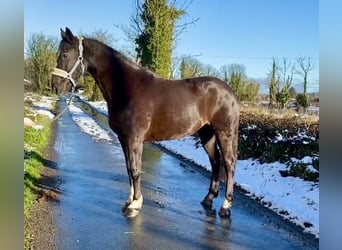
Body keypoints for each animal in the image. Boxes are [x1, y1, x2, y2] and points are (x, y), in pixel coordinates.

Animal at [51, 27, 240, 219]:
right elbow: (128, 169)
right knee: (215, 161)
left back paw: (225, 207)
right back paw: (208, 199)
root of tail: (230, 92)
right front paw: (130, 200)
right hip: (207, 134)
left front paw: (135, 205)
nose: (55, 86)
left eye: (65, 54)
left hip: (224, 133)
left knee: (229, 163)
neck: (126, 86)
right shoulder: (123, 138)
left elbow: (136, 170)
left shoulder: (134, 138)